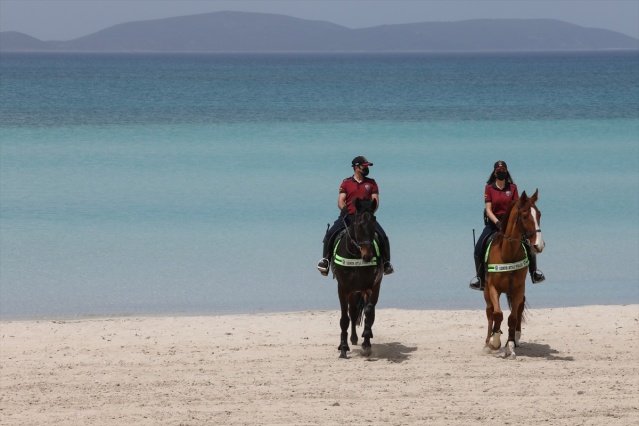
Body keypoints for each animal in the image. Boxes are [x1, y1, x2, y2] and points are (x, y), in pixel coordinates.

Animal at [330, 198, 384, 358]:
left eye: (373, 225)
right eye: (358, 225)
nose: (367, 256)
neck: (355, 255)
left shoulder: (370, 286)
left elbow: (369, 312)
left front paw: (366, 344)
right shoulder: (343, 288)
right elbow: (344, 319)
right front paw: (343, 348)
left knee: (367, 312)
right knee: (352, 313)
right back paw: (351, 340)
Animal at [484, 190, 544, 360]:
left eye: (539, 214)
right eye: (524, 216)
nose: (539, 245)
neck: (508, 254)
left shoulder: (518, 289)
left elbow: (512, 317)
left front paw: (509, 346)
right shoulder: (493, 288)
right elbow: (497, 314)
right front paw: (495, 342)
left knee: (519, 309)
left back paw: (515, 339)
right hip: (486, 291)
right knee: (489, 312)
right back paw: (487, 343)